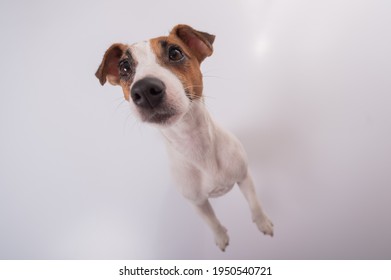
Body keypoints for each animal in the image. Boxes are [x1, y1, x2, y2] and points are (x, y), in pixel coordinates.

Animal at [95, 24, 272, 252]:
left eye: (175, 53)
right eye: (124, 67)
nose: (144, 89)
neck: (195, 141)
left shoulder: (244, 177)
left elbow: (255, 204)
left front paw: (262, 222)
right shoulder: (198, 203)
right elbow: (212, 221)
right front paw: (220, 236)